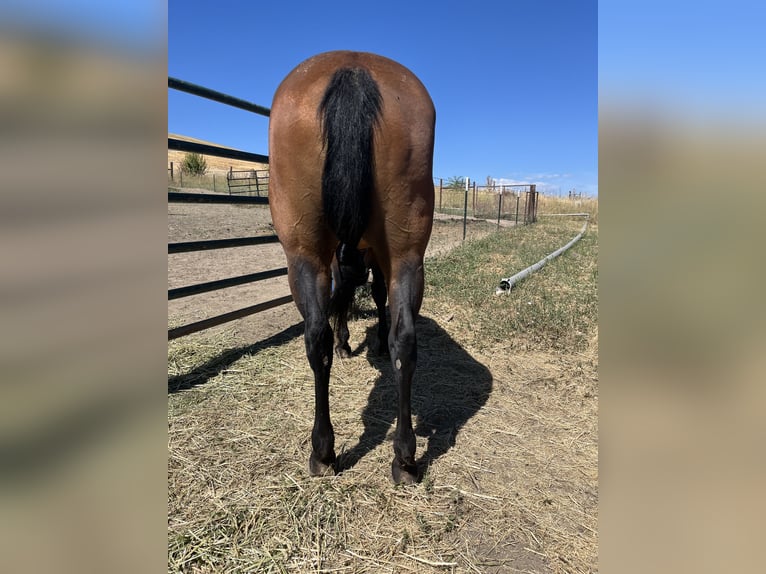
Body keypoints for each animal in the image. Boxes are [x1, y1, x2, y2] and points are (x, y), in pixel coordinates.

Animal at [270, 50, 436, 486]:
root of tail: (354, 68)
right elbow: (363, 297)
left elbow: (349, 298)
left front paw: (349, 342)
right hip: (407, 254)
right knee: (403, 339)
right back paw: (404, 457)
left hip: (303, 255)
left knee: (318, 336)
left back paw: (323, 452)